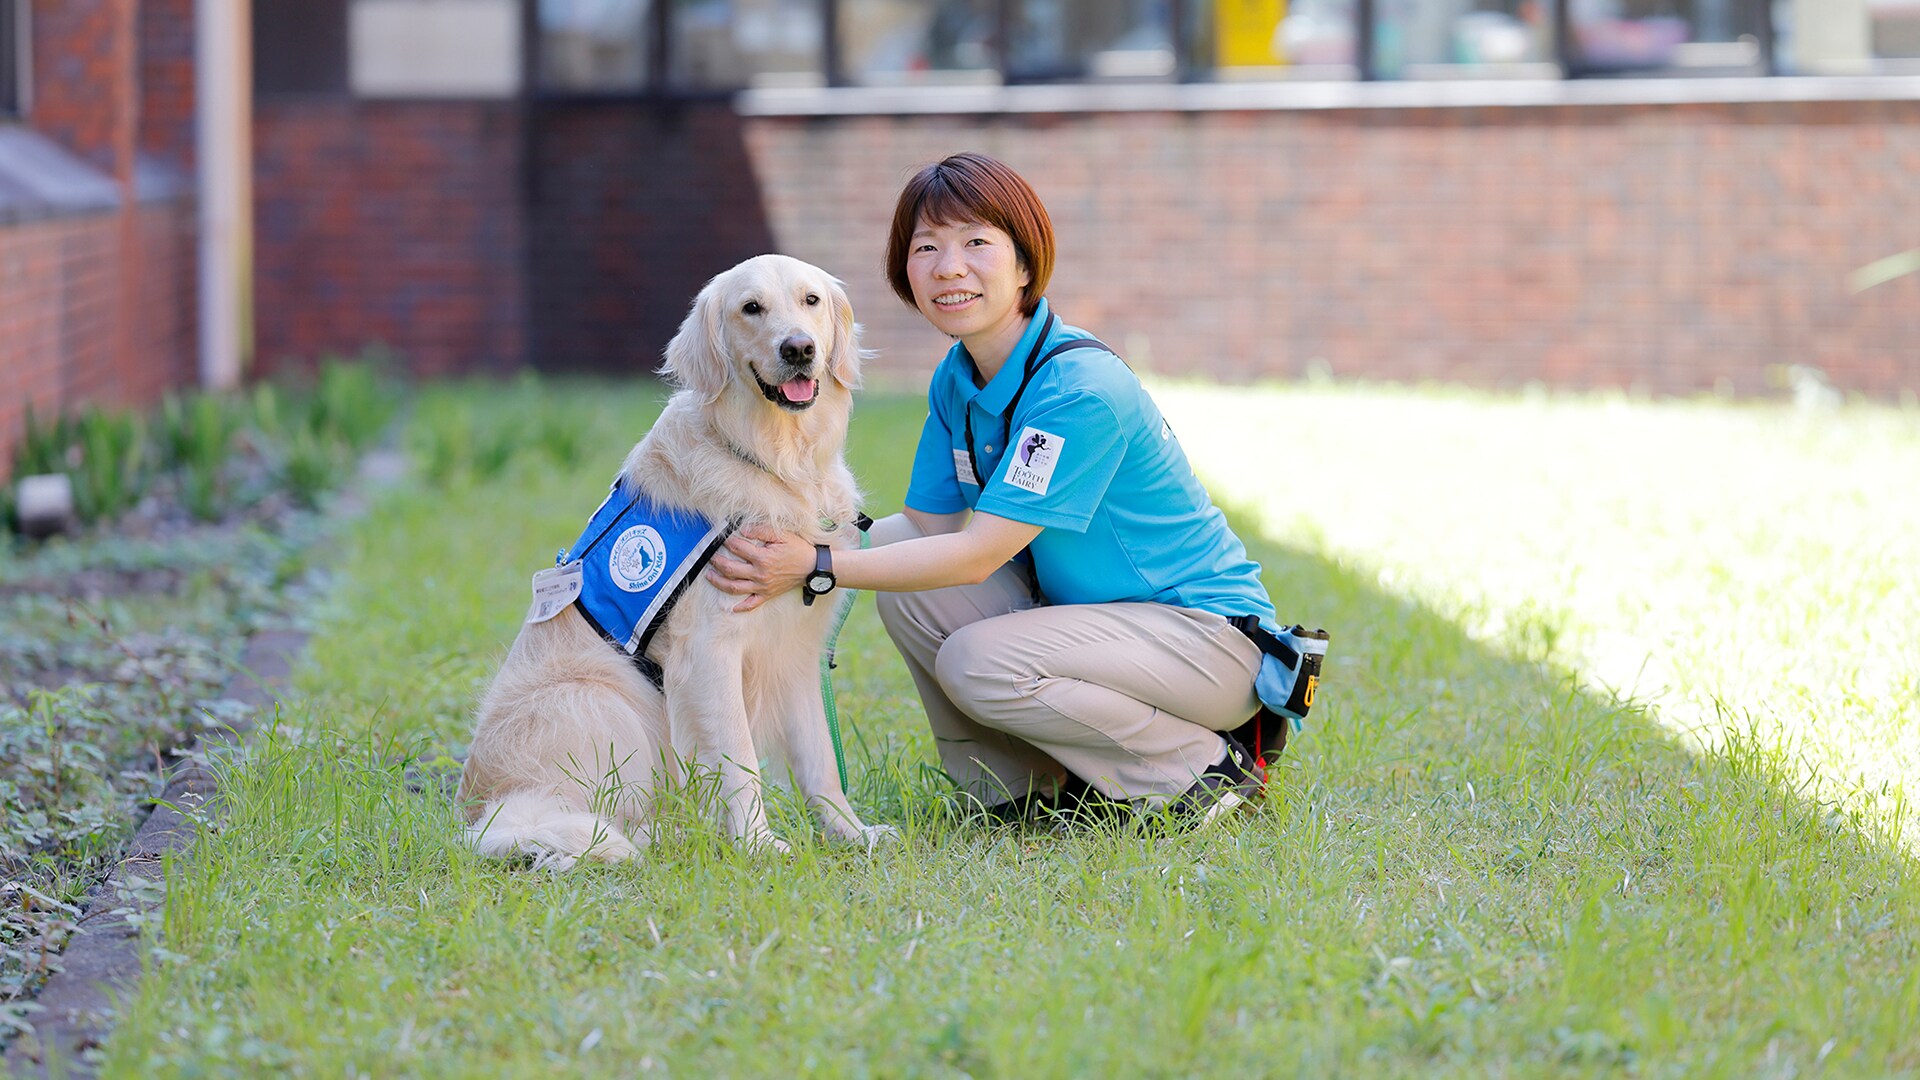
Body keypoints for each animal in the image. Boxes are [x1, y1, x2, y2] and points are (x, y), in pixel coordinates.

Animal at [456, 253, 890, 864]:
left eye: (812, 300)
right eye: (750, 307)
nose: (799, 348)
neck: (776, 462)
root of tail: (481, 817)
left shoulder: (798, 652)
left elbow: (820, 761)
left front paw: (851, 834)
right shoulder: (708, 650)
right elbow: (740, 760)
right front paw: (759, 845)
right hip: (604, 699)